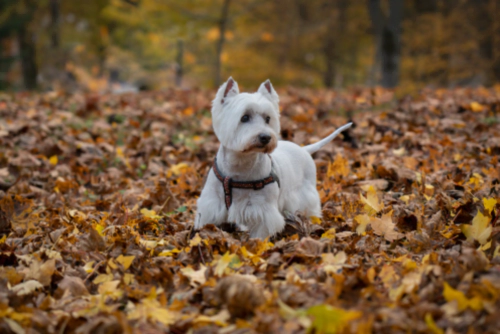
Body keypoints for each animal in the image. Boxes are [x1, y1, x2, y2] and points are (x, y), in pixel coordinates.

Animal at [193, 77, 354, 239]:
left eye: (268, 118)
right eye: (244, 117)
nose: (265, 137)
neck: (239, 164)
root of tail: (303, 149)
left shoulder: (262, 209)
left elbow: (260, 233)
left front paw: (256, 242)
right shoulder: (211, 203)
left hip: (307, 193)